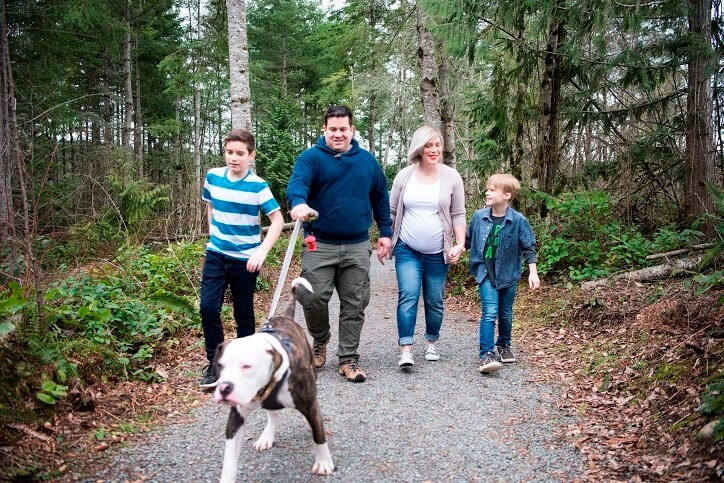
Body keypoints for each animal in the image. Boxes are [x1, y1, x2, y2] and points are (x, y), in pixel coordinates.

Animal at [209, 278, 334, 482]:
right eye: (220, 366)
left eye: (247, 366)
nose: (225, 388)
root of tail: (286, 317)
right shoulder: (236, 419)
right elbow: (229, 460)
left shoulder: (310, 405)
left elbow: (319, 436)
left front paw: (323, 462)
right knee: (273, 414)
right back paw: (266, 436)